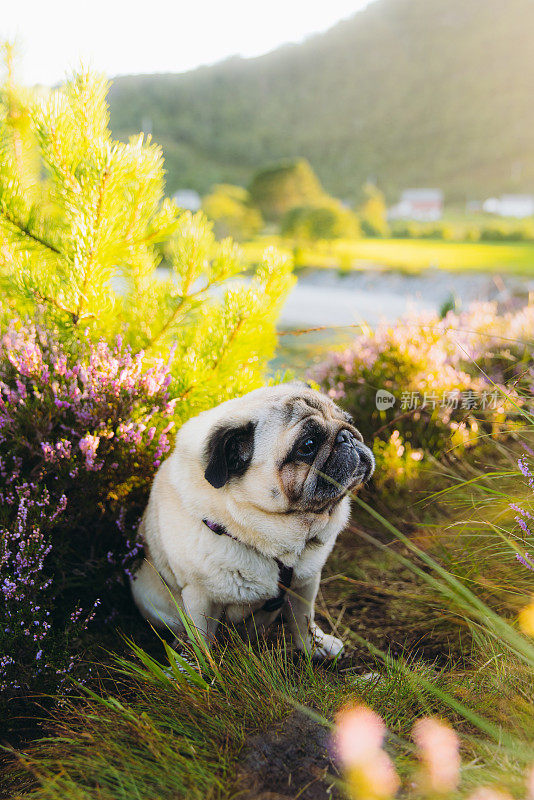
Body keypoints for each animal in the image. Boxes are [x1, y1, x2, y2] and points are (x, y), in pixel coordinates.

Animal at [131, 384, 374, 660]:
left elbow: (304, 619)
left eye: (350, 422)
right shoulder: (200, 595)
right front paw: (198, 667)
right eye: (308, 445)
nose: (347, 438)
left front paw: (314, 646)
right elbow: (201, 642)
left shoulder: (305, 583)